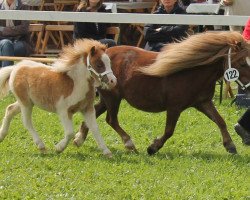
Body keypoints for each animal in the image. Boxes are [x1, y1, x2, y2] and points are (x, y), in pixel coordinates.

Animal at [73, 31, 250, 155]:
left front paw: (230, 145)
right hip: (113, 98)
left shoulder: (203, 102)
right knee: (111, 120)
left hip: (108, 98)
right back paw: (129, 143)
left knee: (93, 114)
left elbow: (220, 121)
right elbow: (169, 131)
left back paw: (79, 139)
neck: (192, 72)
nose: (248, 87)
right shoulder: (174, 107)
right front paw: (153, 147)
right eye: (242, 63)